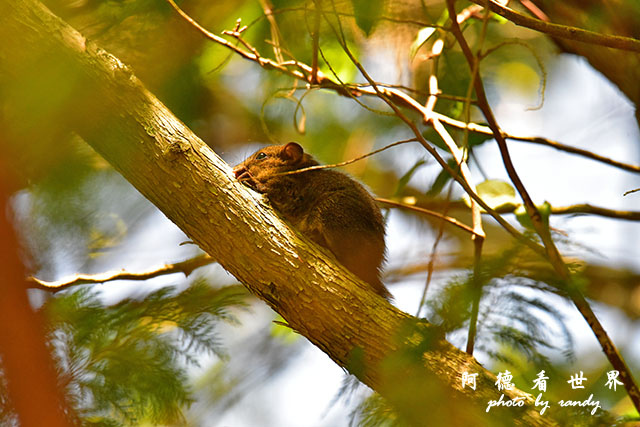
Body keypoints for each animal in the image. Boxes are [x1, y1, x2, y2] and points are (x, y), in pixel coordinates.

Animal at [230, 142, 390, 300]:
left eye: (261, 156)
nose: (235, 168)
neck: (296, 173)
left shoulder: (289, 192)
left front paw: (249, 178)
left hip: (331, 210)